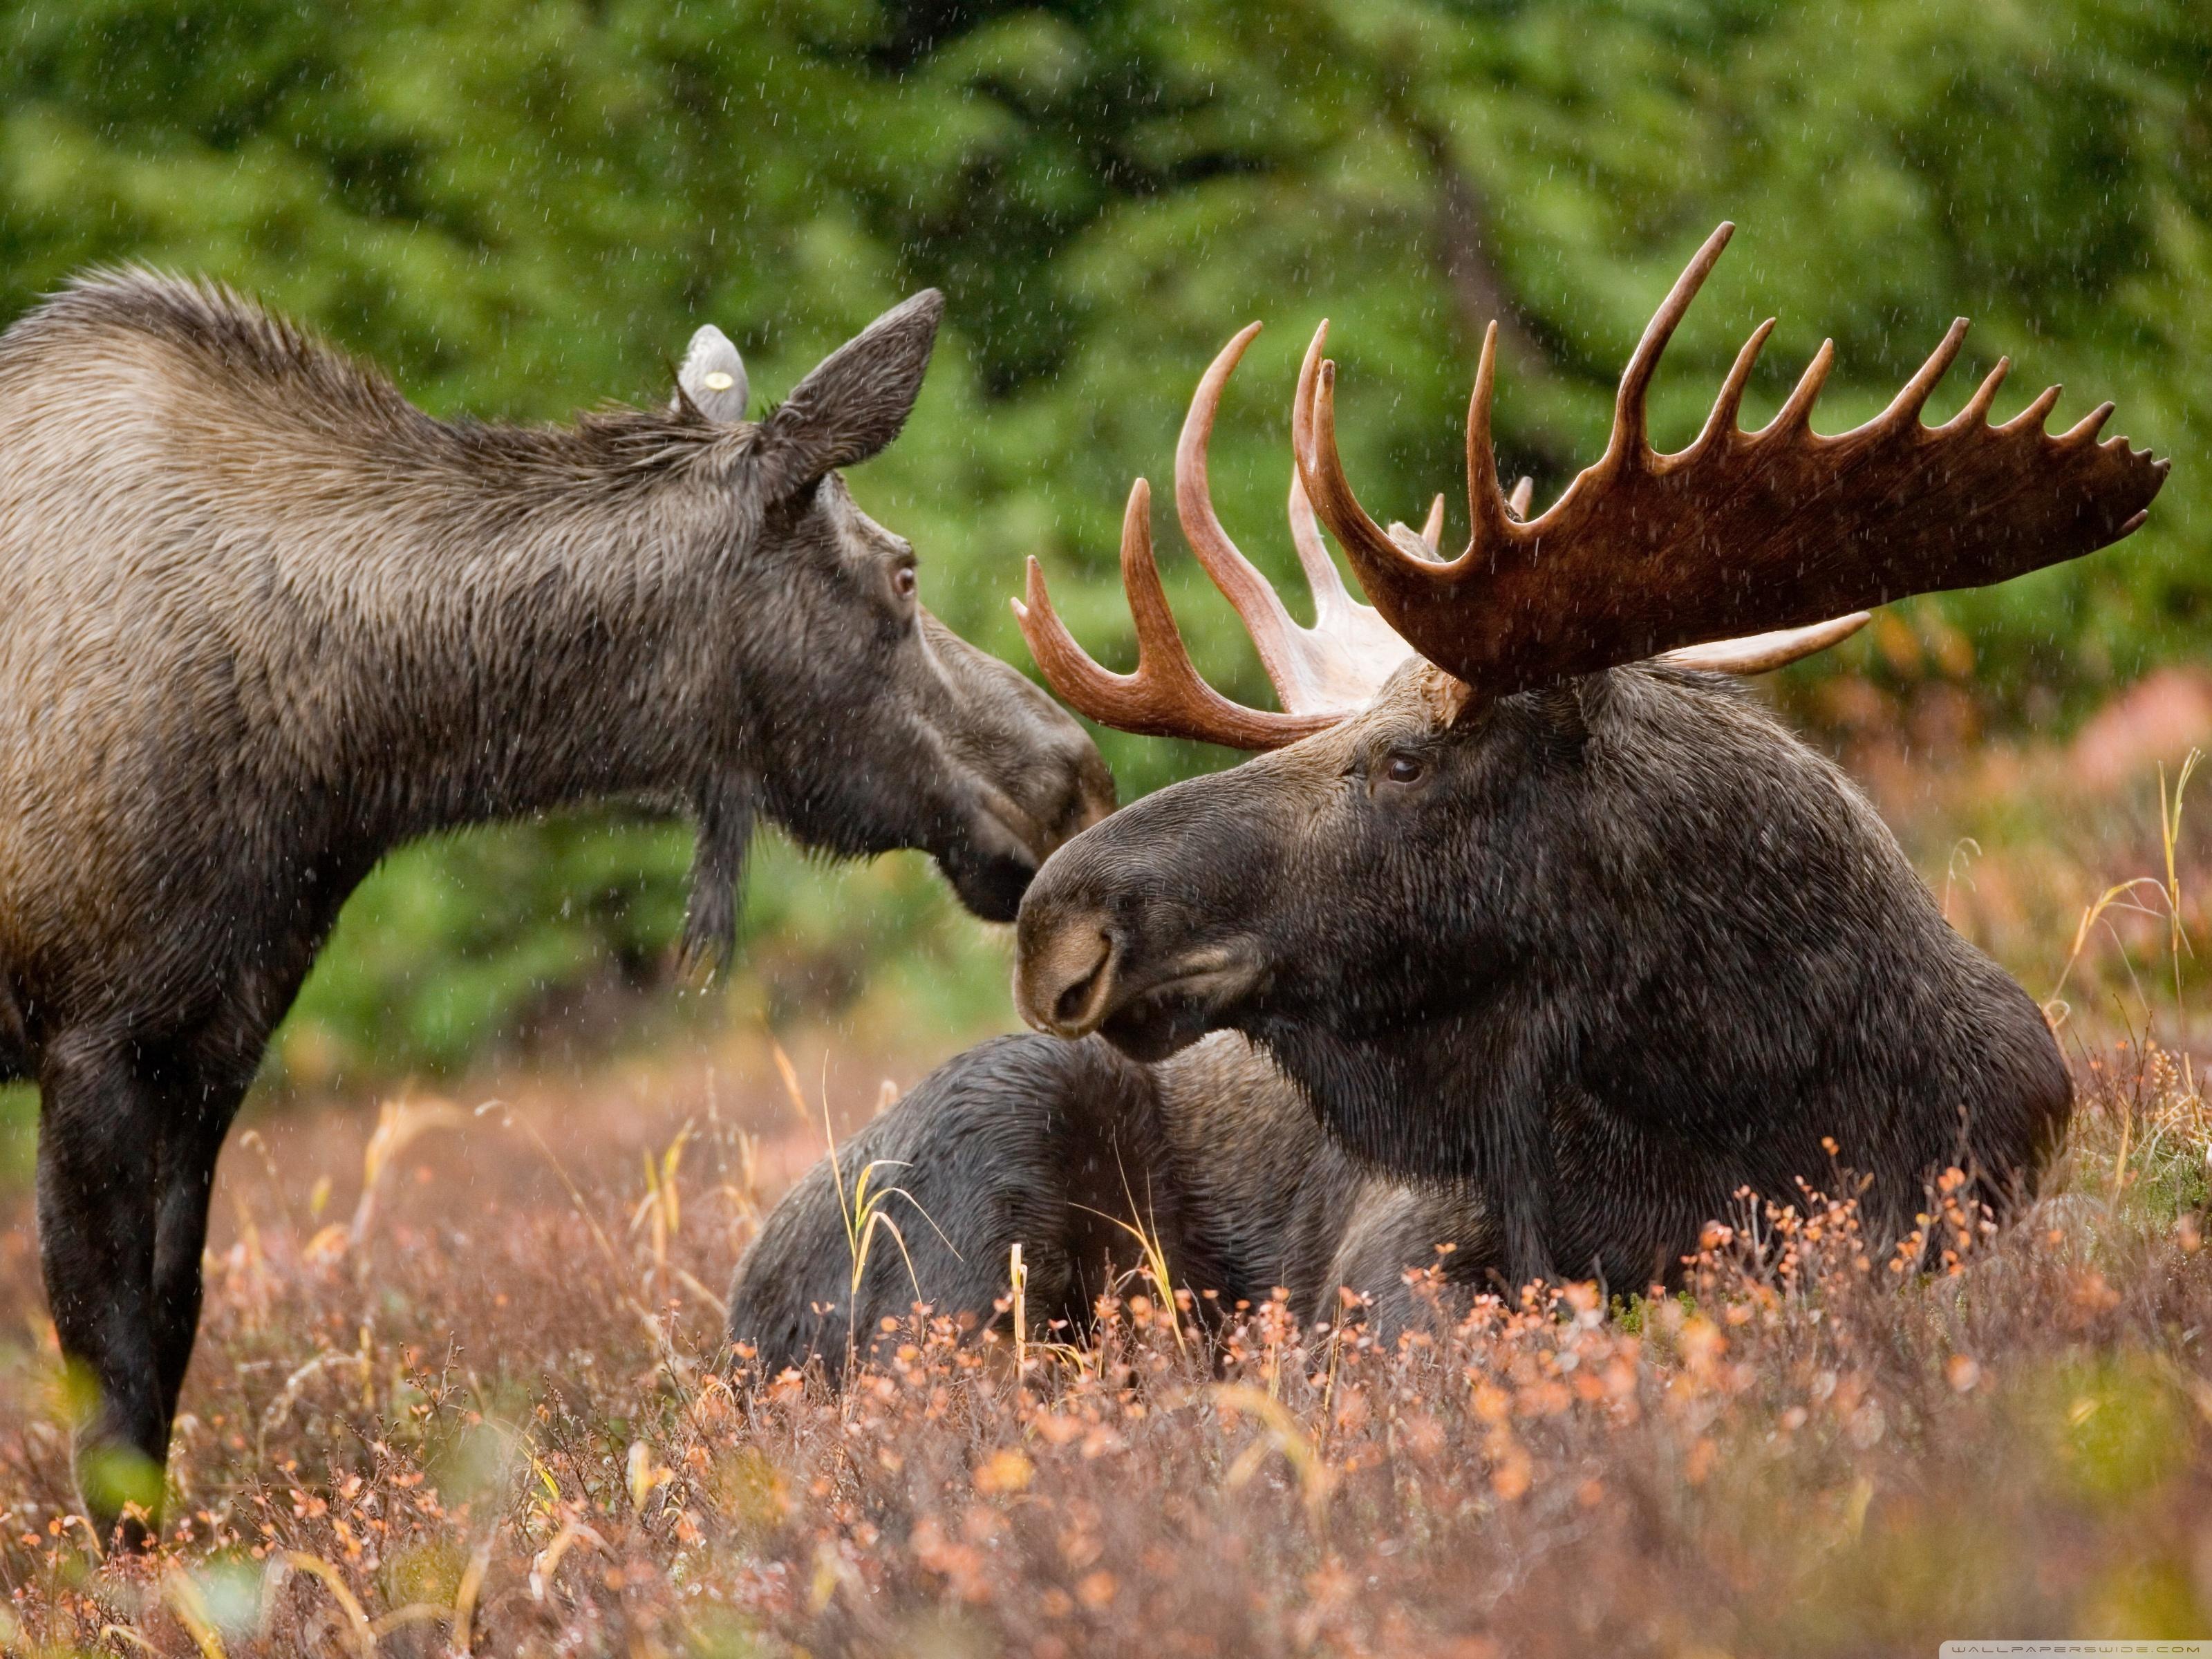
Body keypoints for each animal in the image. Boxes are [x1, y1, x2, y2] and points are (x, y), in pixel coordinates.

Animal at [0, 272, 1115, 1544]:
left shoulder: (212, 1040)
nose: (1074, 778)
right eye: (905, 570)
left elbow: (168, 1341)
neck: (341, 753)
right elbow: (108, 1386)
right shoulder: (89, 1037)